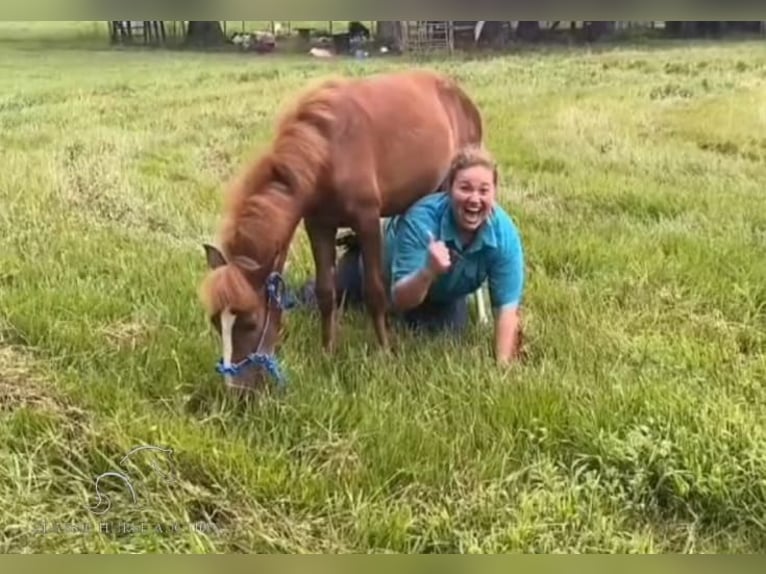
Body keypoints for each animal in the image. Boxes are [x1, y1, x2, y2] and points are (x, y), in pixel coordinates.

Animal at [201, 67, 484, 392]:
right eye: (215, 321)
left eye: (251, 321)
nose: (235, 392)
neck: (327, 151)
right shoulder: (317, 225)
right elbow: (326, 291)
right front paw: (328, 352)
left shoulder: (367, 220)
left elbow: (375, 290)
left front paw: (385, 353)